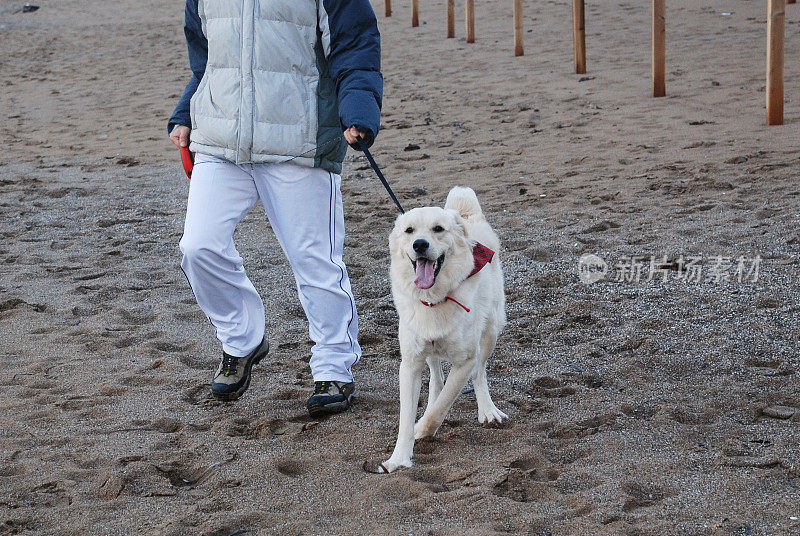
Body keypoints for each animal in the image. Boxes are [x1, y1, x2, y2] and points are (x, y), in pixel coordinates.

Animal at [376, 187, 506, 474]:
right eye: (409, 230)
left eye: (438, 229)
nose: (420, 245)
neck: (435, 298)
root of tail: (466, 215)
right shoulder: (410, 363)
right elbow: (407, 416)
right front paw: (399, 458)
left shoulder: (466, 361)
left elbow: (443, 405)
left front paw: (423, 430)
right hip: (430, 351)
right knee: (436, 377)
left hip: (491, 331)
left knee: (480, 373)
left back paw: (488, 410)